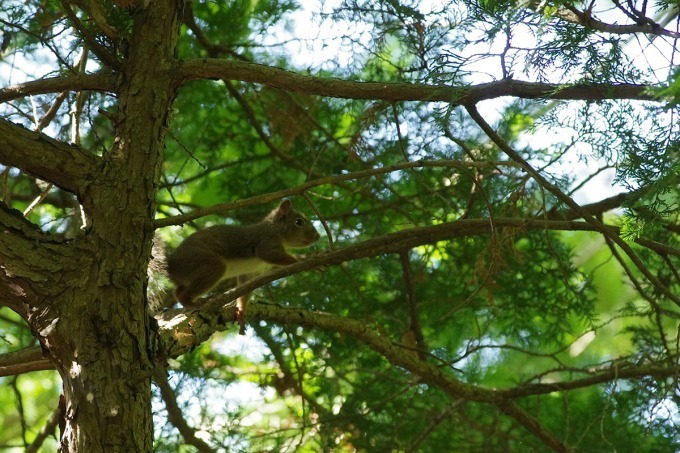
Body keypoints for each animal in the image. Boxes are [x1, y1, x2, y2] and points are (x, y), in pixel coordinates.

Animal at [167, 200, 322, 334]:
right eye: (299, 222)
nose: (317, 237)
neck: (274, 228)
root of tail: (171, 265)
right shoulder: (266, 241)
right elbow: (274, 255)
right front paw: (310, 262)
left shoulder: (253, 272)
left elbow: (245, 288)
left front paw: (241, 312)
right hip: (209, 265)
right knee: (182, 293)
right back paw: (191, 303)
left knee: (177, 290)